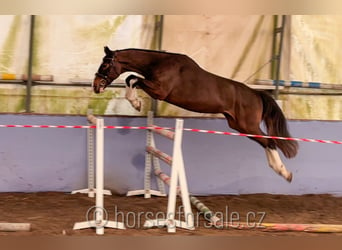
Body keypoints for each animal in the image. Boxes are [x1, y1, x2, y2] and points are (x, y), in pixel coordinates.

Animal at [92, 46, 298, 182]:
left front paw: (135, 103)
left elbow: (132, 78)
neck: (159, 63)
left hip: (247, 125)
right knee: (266, 142)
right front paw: (135, 103)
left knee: (270, 142)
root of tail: (257, 94)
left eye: (105, 65)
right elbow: (131, 78)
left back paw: (284, 172)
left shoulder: (159, 91)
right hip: (239, 126)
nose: (96, 86)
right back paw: (281, 171)